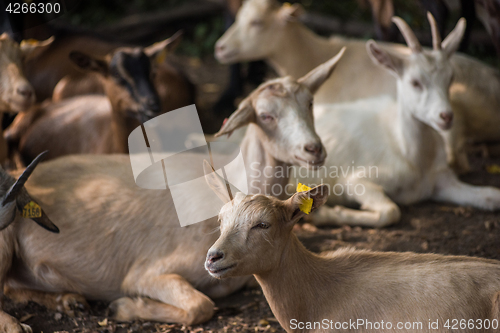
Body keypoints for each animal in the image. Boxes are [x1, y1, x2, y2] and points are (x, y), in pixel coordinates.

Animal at [292, 14, 500, 227]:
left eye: (450, 79)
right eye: (415, 82)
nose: (446, 116)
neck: (412, 157)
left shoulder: (443, 182)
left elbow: (493, 195)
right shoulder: (355, 180)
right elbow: (391, 211)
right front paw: (323, 214)